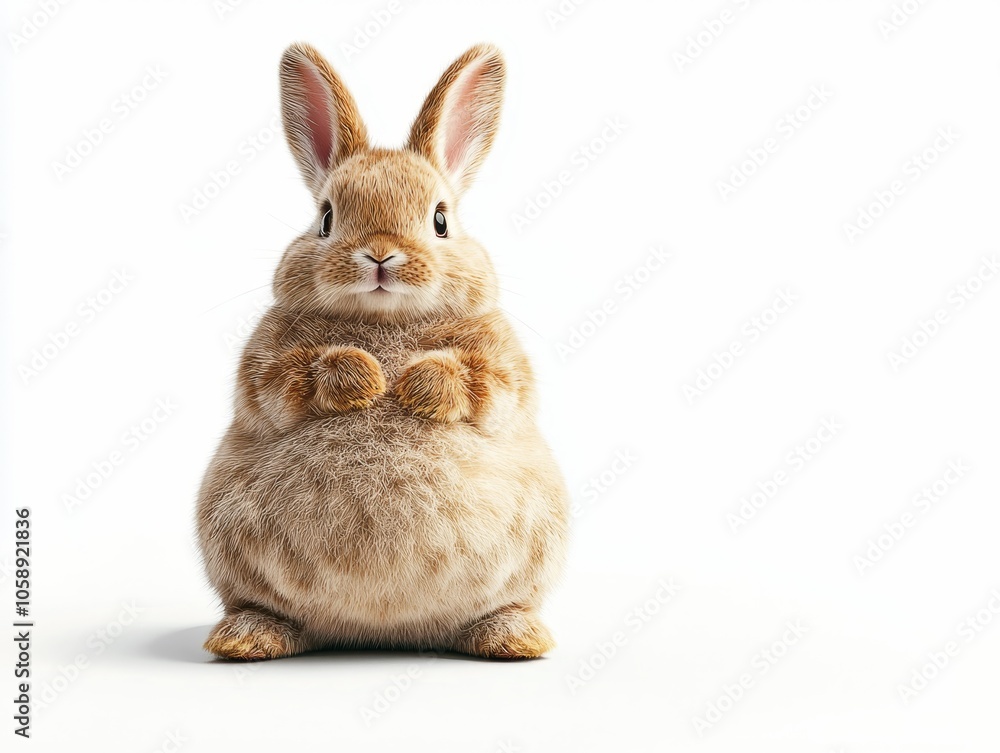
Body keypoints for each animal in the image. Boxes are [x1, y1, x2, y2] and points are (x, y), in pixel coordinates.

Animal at [196, 41, 569, 661]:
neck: (384, 318)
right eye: (326, 218)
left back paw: (515, 638)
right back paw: (246, 638)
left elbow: (484, 382)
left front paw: (415, 386)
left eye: (440, 220)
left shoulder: (502, 364)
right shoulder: (266, 363)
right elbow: (290, 377)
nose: (379, 255)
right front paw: (368, 382)